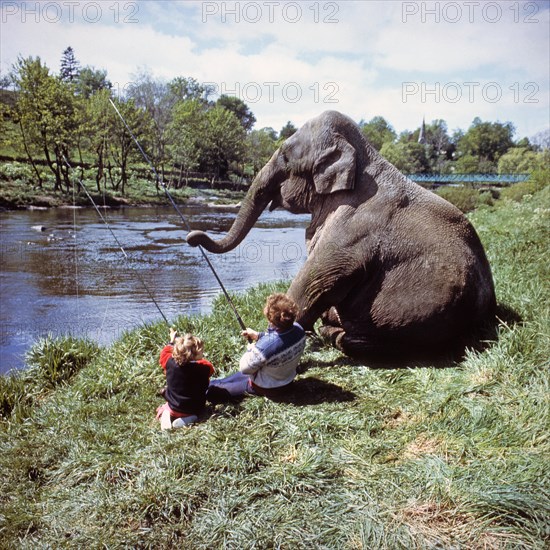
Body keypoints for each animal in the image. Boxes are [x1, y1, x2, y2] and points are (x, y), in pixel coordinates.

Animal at [188, 111, 498, 362]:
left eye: (285, 155)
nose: (192, 236)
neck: (364, 153)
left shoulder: (352, 229)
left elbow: (314, 280)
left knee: (352, 341)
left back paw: (330, 332)